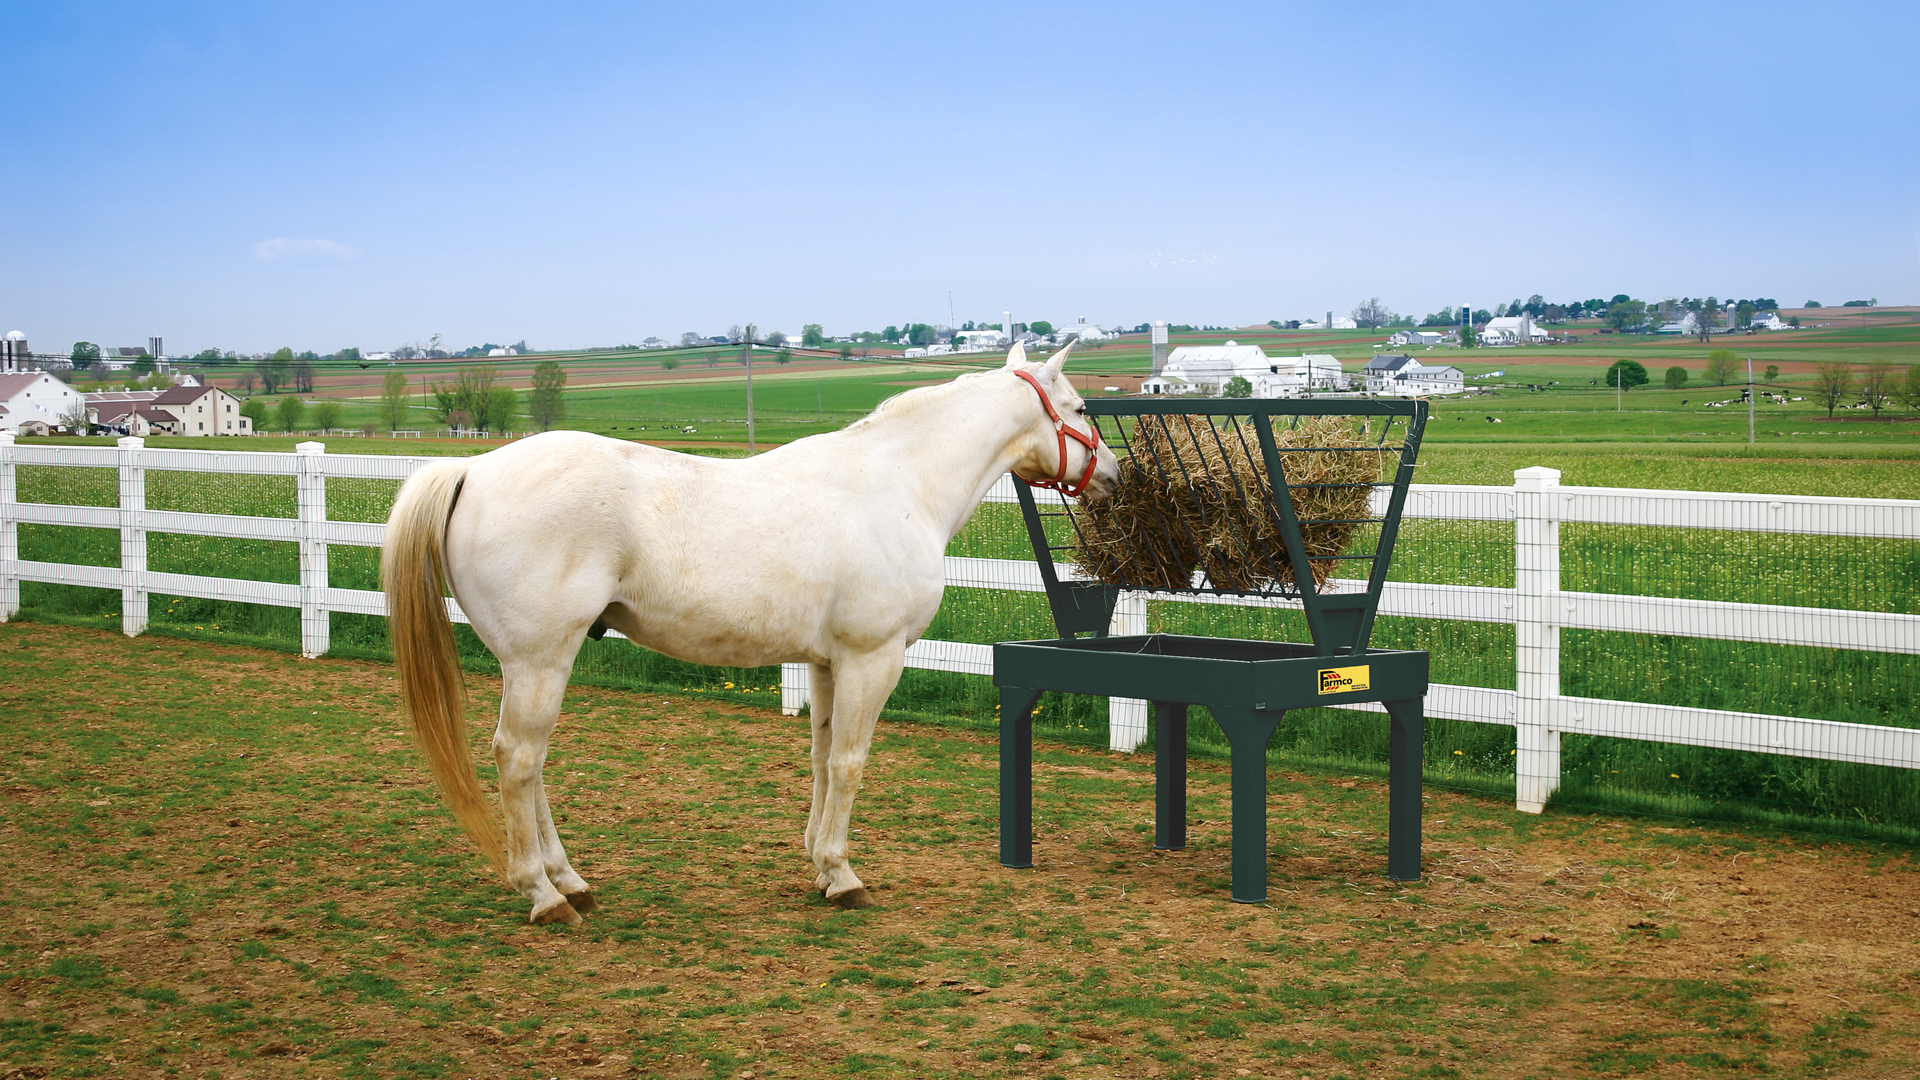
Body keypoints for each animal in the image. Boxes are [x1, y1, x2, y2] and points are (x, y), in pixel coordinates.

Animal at [382, 340, 1121, 922]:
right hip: (540, 661)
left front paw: (820, 866)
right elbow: (850, 764)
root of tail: (472, 468)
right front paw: (843, 875)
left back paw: (571, 882)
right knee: (518, 760)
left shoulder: (827, 662)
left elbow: (822, 759)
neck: (899, 486)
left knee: (528, 767)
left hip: (534, 665)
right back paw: (543, 894)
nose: (1114, 477)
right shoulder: (873, 658)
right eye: (1082, 409)